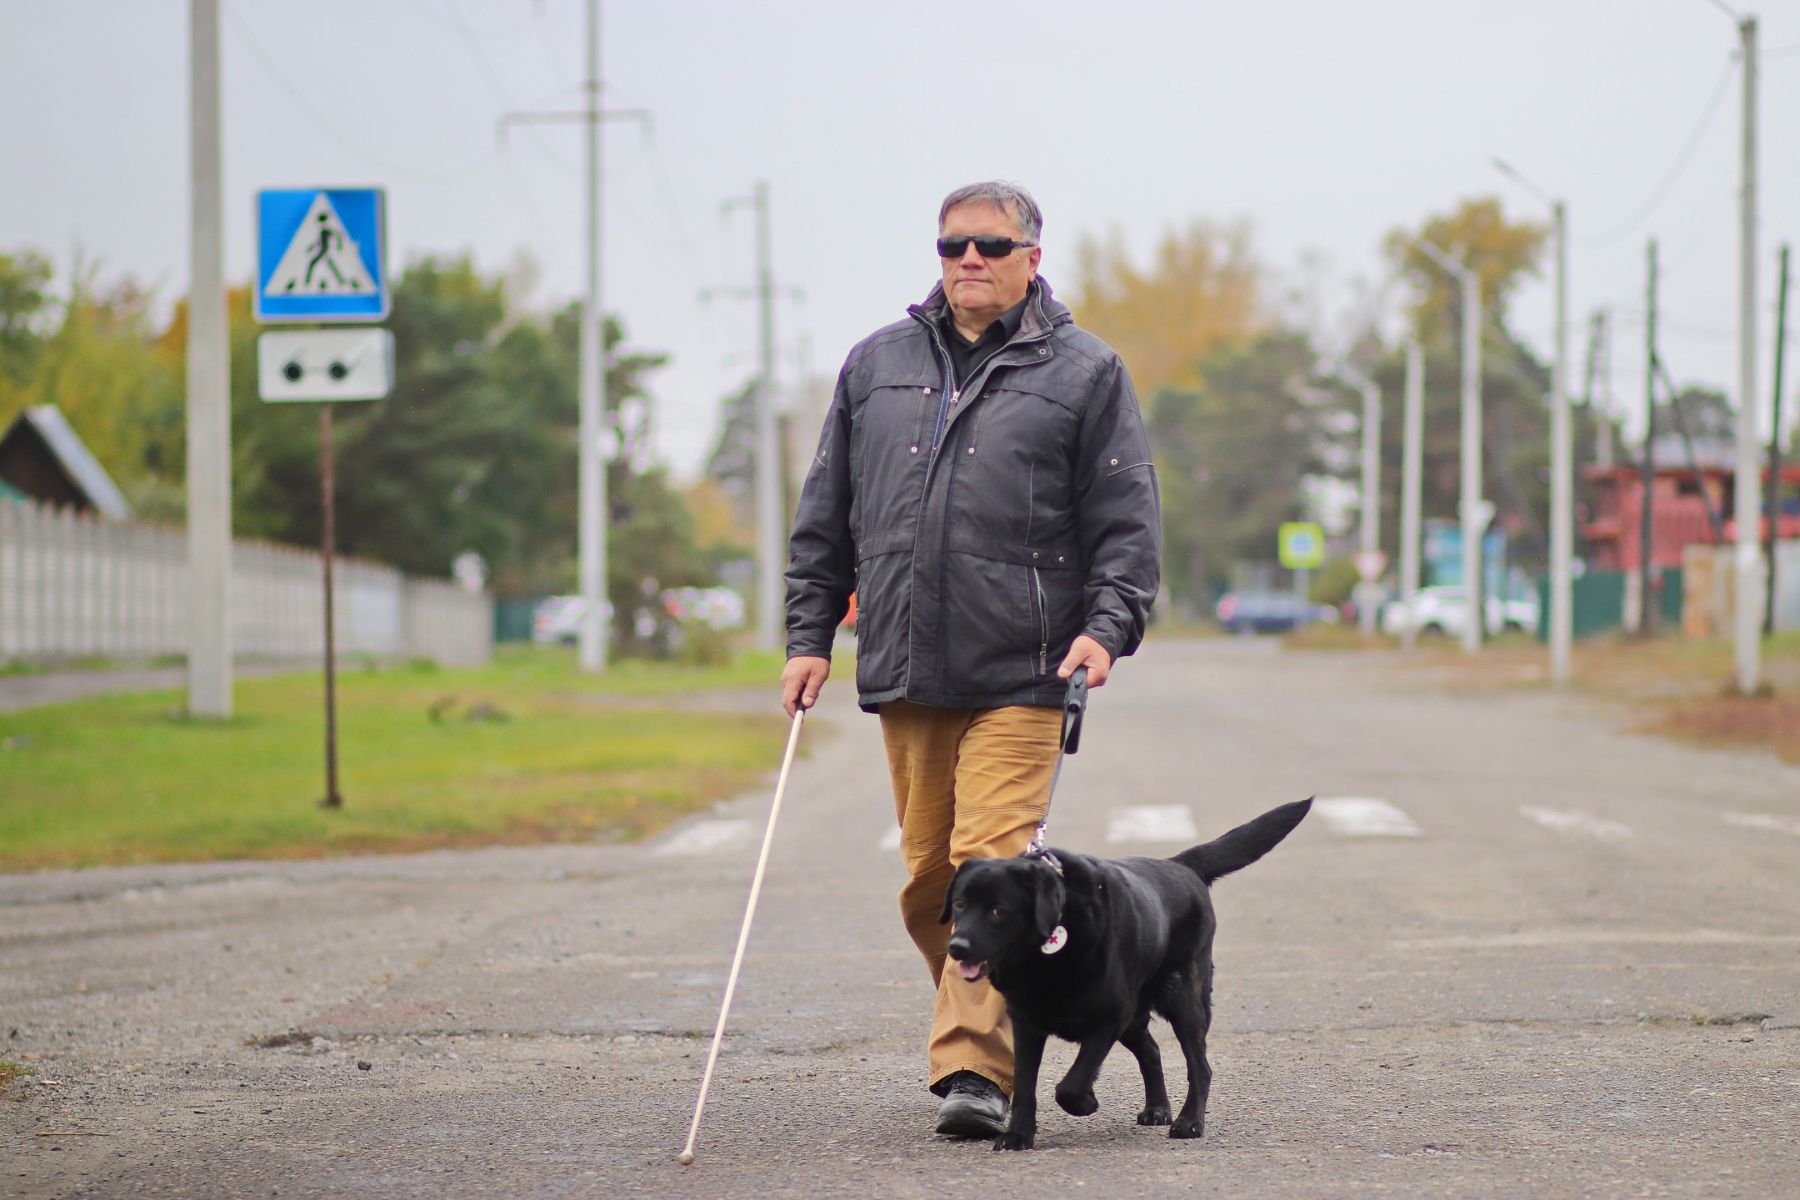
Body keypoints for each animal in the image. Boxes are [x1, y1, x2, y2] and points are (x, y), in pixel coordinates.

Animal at [943, 802, 1310, 1151]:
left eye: (998, 911)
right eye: (960, 903)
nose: (956, 947)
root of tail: (1181, 864)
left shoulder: (1108, 1019)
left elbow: (1071, 1084)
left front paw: (1085, 1103)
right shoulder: (1027, 1023)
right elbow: (1024, 1086)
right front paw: (1018, 1135)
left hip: (1182, 1000)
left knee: (1200, 1066)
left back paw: (1189, 1122)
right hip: (1136, 1016)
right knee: (1151, 1050)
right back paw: (1158, 1109)